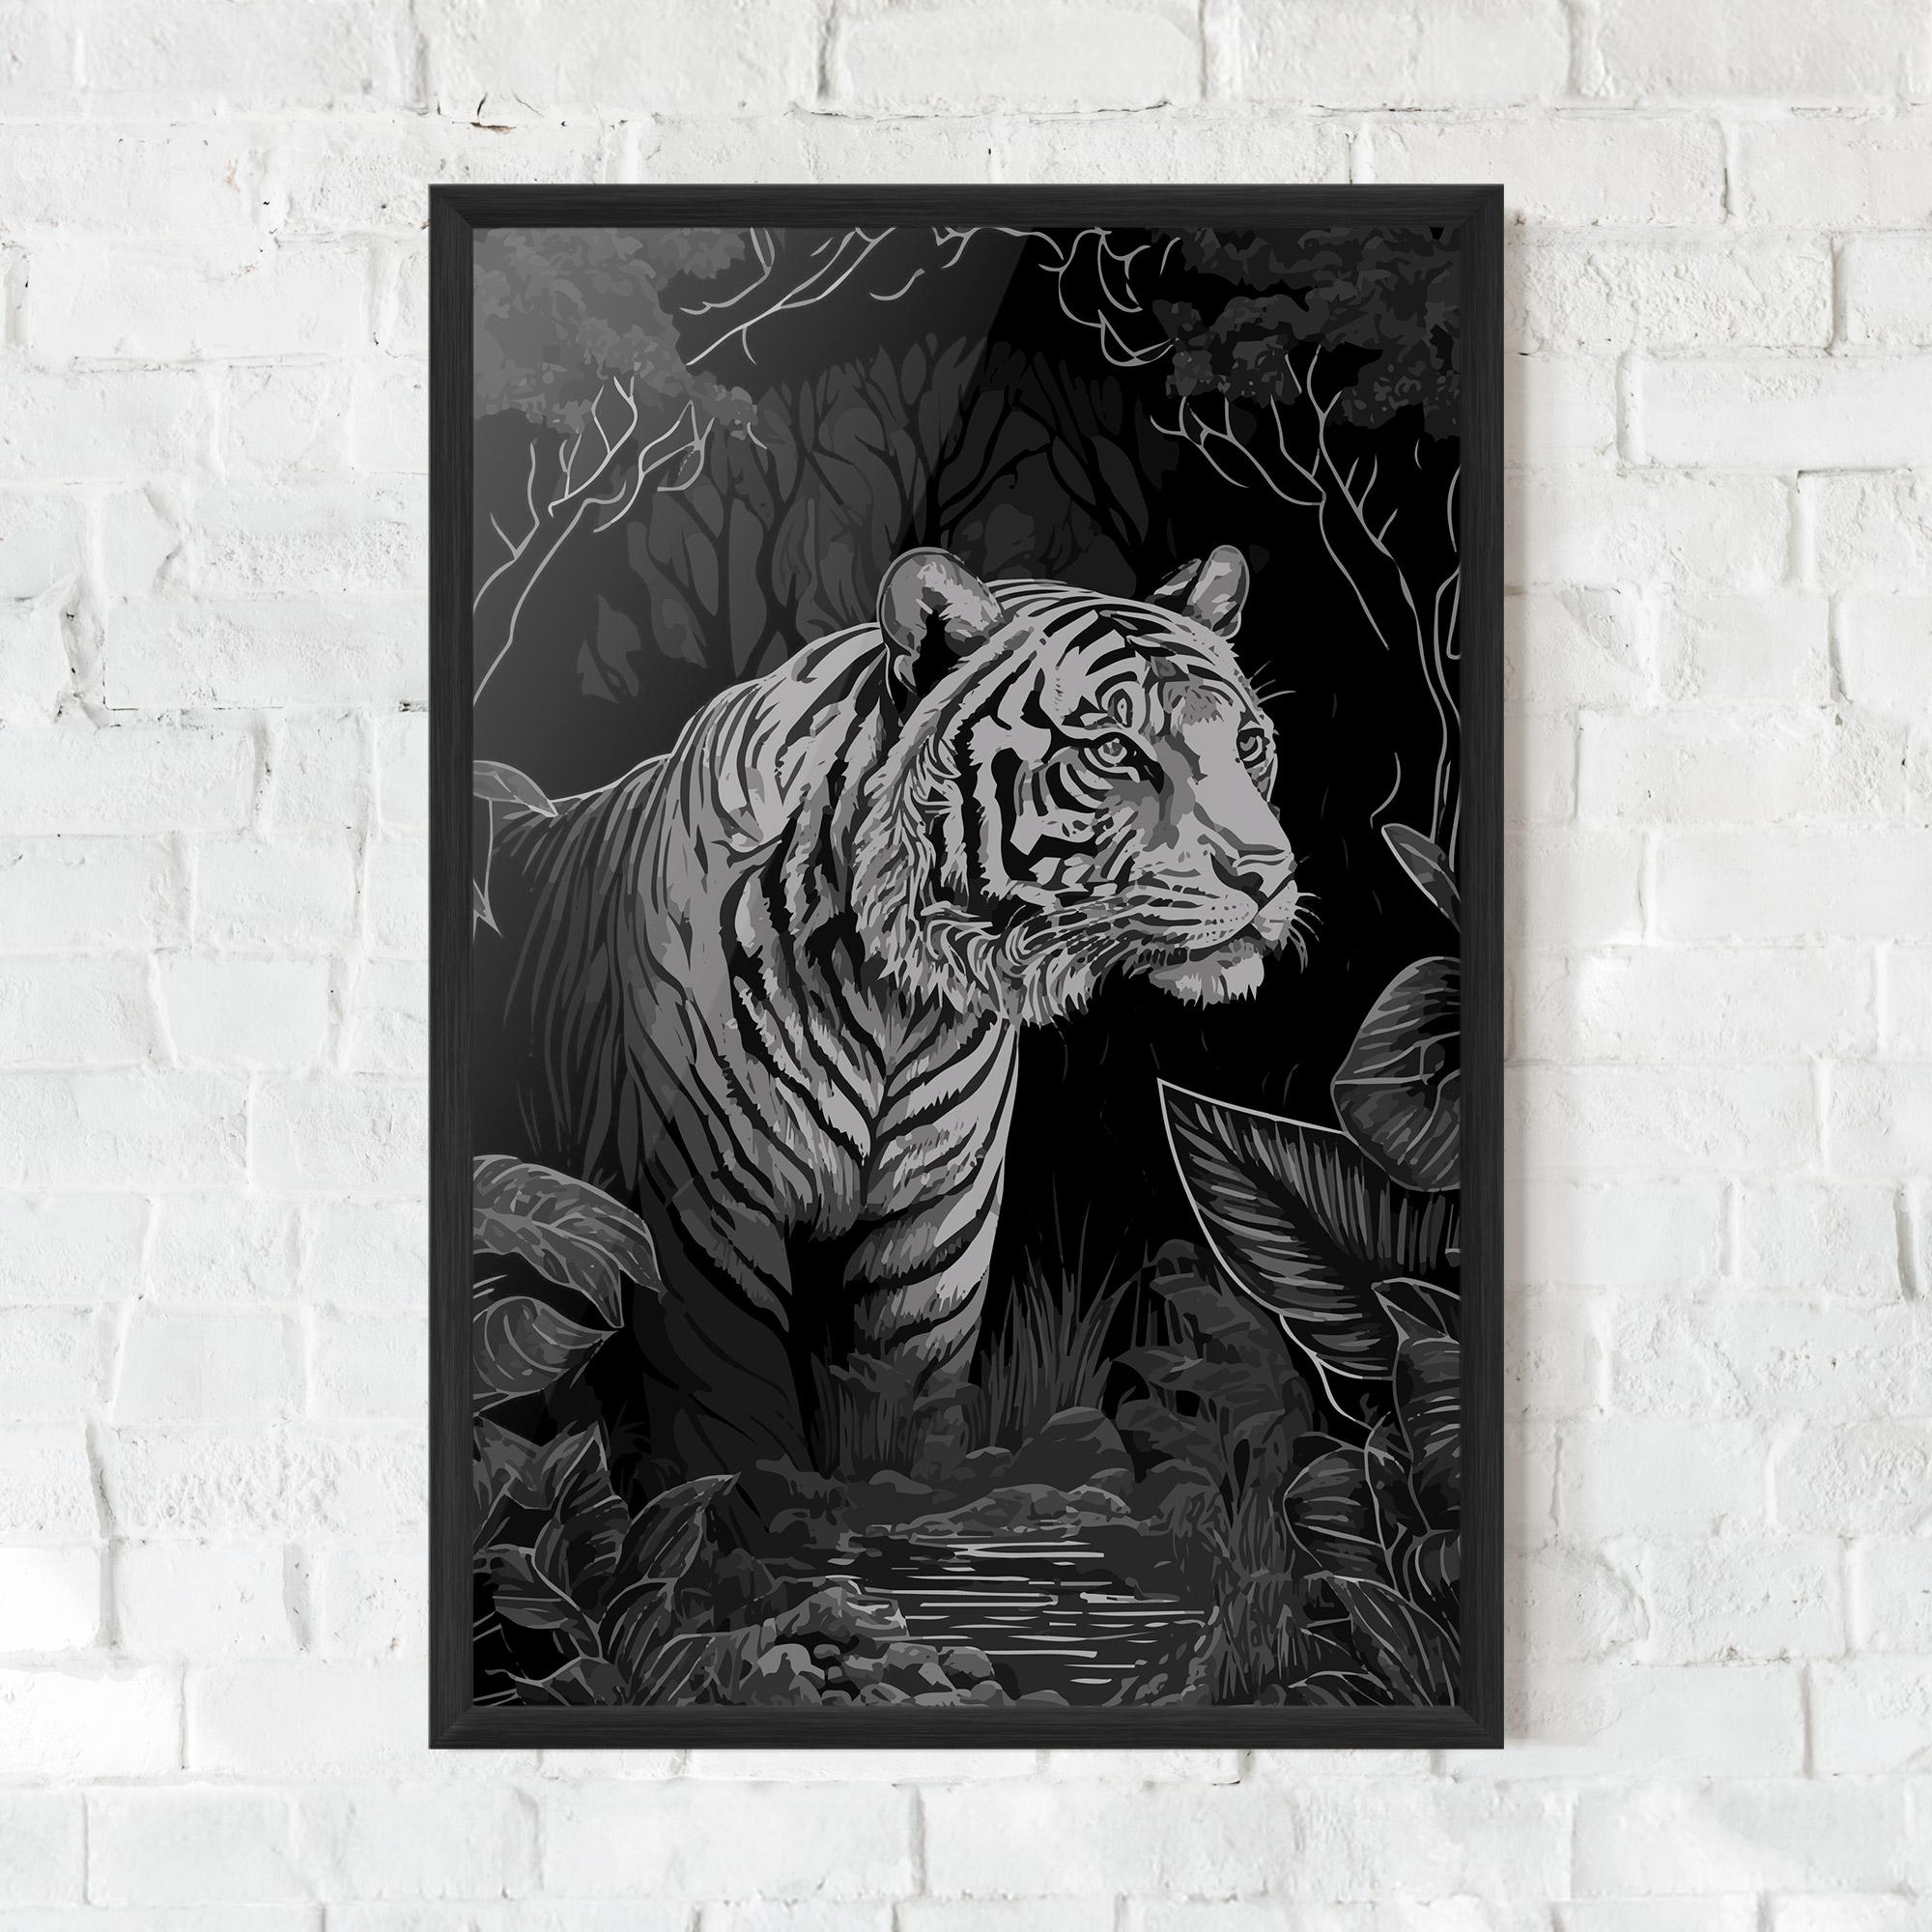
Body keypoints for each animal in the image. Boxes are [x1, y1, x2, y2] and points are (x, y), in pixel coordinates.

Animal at [495, 544, 1303, 1491]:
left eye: (1246, 744)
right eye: (1114, 749)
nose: (1269, 873)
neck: (899, 1000)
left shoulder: (938, 1224)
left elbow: (910, 1409)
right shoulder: (705, 1218)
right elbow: (732, 1433)